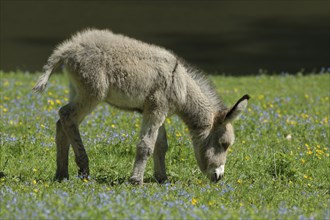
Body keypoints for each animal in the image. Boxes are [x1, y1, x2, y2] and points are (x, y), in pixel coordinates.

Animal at [34, 28, 250, 184]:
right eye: (224, 144)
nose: (219, 177)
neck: (182, 86)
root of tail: (68, 48)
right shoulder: (155, 110)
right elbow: (146, 145)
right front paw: (136, 180)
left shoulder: (157, 111)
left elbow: (161, 145)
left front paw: (162, 178)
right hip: (93, 92)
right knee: (66, 115)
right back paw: (84, 170)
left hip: (76, 89)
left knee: (63, 122)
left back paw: (62, 174)